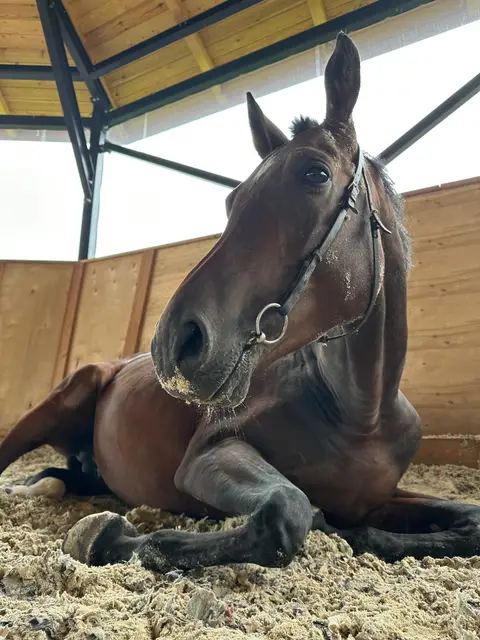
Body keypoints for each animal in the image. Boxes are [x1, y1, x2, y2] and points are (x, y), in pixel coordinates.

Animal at [1, 33, 479, 572]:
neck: (362, 414)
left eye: (316, 174)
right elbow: (288, 510)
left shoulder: (382, 498)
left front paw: (365, 536)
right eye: (232, 201)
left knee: (58, 480)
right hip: (49, 408)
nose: (175, 342)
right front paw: (109, 538)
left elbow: (468, 519)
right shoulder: (208, 457)